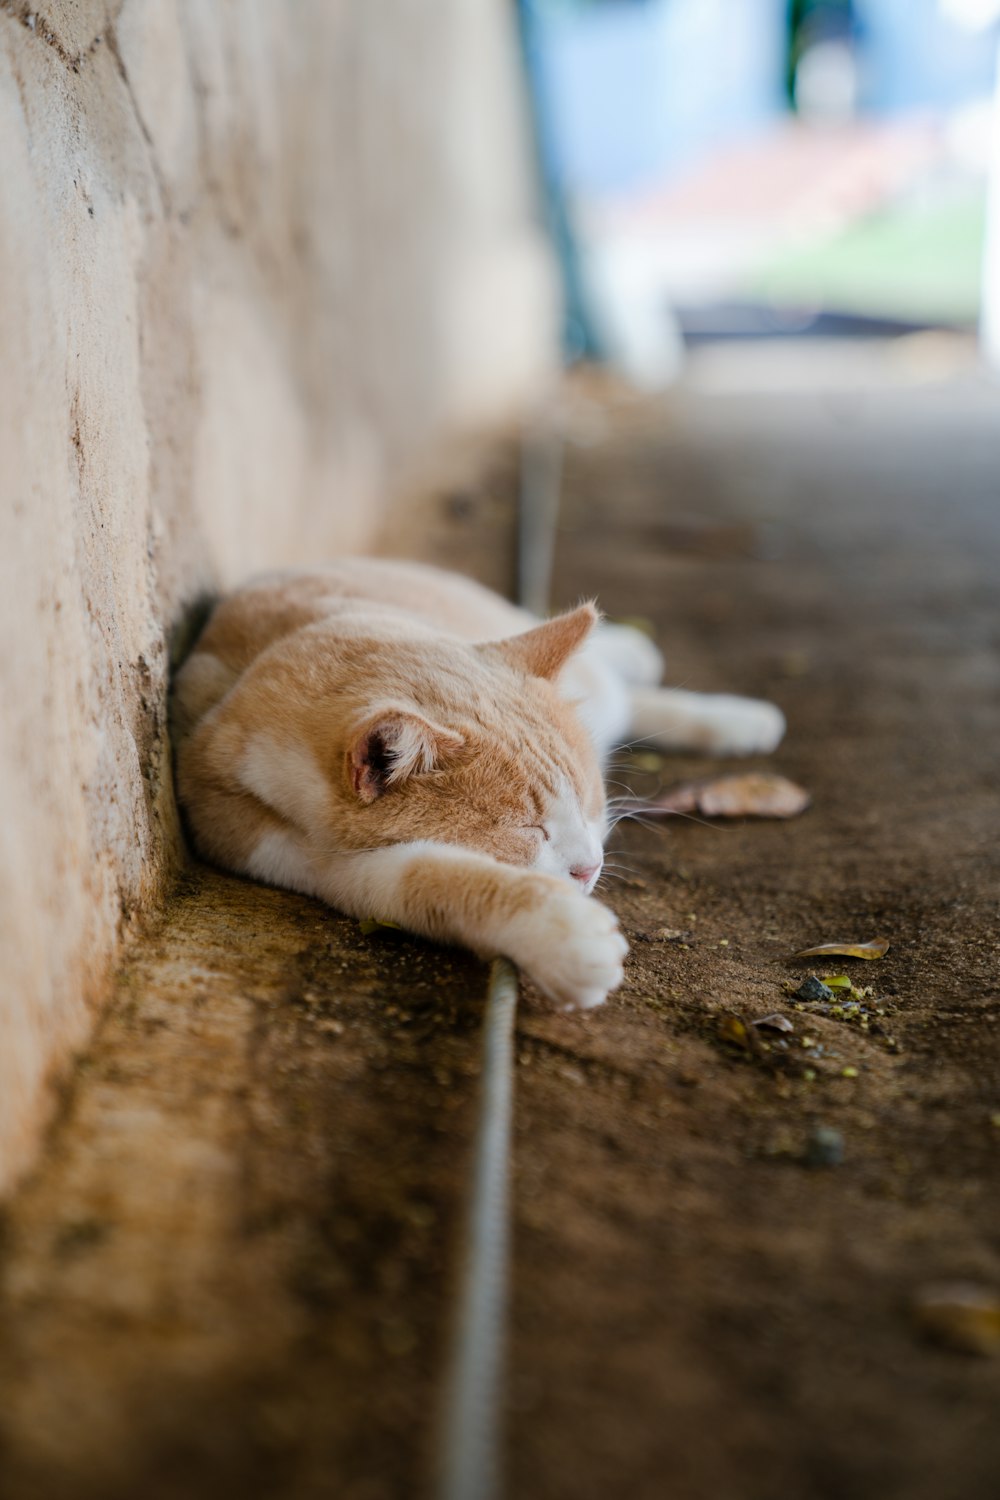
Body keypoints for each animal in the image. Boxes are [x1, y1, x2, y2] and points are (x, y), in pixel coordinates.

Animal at [173, 561, 779, 1008]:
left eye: (589, 803)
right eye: (529, 831)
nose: (590, 869)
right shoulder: (310, 859)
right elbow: (434, 879)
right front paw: (562, 936)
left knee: (613, 688)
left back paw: (710, 701)